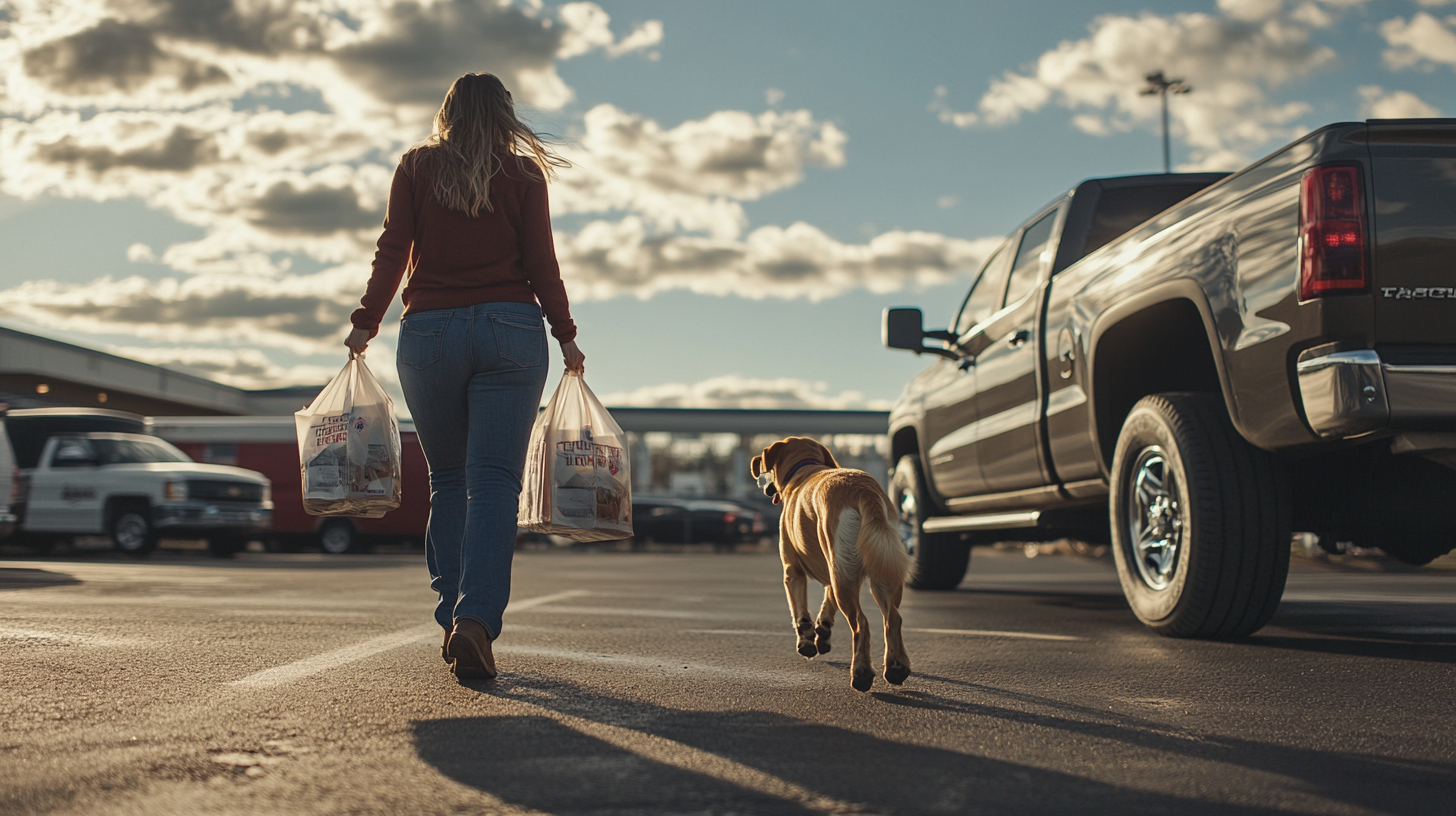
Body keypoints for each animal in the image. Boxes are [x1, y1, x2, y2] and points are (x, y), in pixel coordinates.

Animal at [751, 437, 908, 690]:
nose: (766, 488)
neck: (804, 467)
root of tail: (864, 491)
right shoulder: (831, 570)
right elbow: (827, 601)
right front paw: (822, 631)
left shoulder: (792, 571)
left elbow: (800, 612)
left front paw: (807, 641)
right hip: (880, 569)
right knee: (892, 618)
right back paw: (896, 668)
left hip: (844, 573)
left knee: (861, 624)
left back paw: (861, 674)